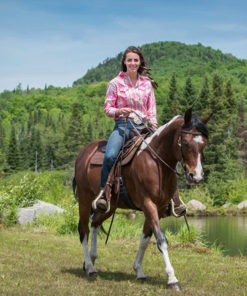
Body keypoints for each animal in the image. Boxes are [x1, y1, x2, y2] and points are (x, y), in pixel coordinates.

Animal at [73, 107, 210, 290]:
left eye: (204, 144)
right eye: (186, 143)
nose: (196, 177)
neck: (156, 163)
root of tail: (83, 153)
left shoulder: (158, 209)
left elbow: (145, 240)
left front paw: (139, 271)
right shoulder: (148, 204)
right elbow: (161, 240)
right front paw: (172, 279)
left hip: (110, 206)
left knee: (95, 222)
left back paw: (92, 260)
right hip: (84, 200)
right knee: (84, 231)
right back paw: (89, 267)